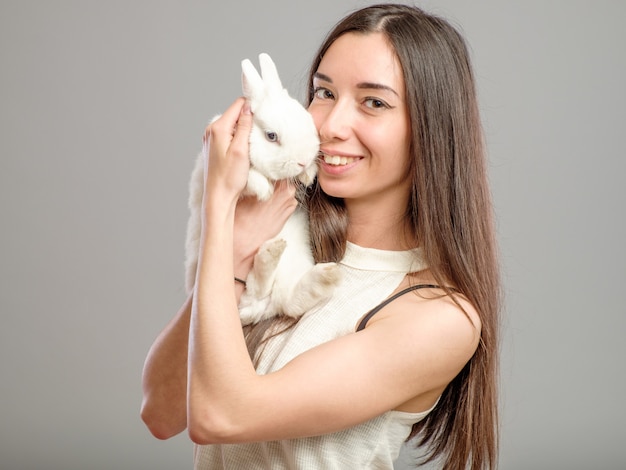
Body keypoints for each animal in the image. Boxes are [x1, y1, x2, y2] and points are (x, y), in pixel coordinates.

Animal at [184, 53, 342, 324]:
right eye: (271, 136)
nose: (302, 160)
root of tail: (261, 311)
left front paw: (308, 174)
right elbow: (250, 177)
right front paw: (264, 191)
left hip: (292, 268)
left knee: (286, 300)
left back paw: (324, 274)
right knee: (254, 290)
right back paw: (272, 253)